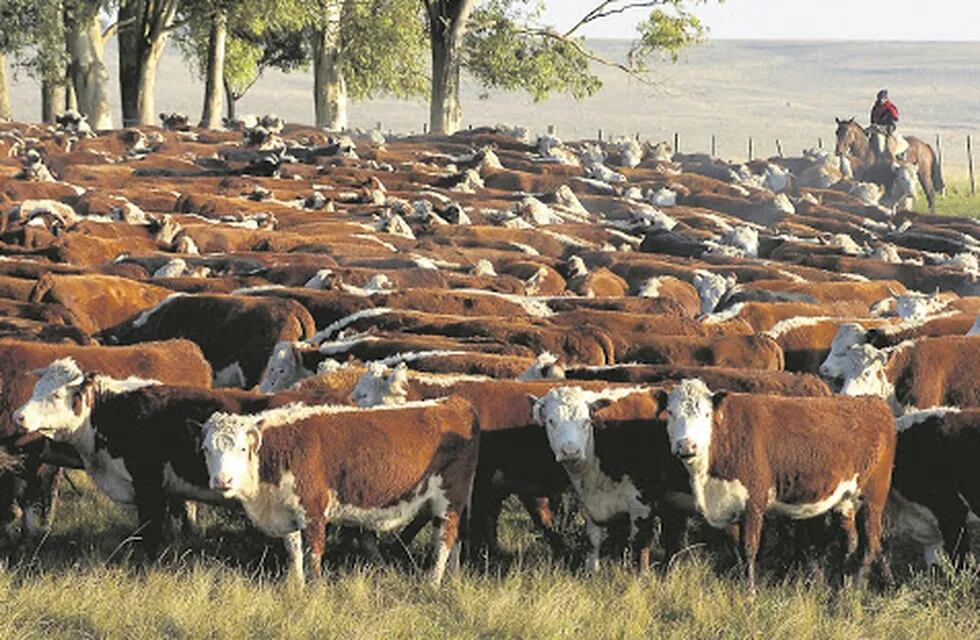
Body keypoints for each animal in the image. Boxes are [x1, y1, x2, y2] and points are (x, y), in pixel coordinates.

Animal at [197, 398, 480, 588]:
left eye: (242, 449)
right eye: (206, 449)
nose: (222, 481)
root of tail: (453, 403)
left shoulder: (313, 510)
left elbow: (313, 554)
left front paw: (316, 592)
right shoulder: (287, 510)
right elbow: (294, 550)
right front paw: (297, 587)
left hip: (449, 499)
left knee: (444, 539)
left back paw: (432, 583)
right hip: (454, 502)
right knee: (455, 539)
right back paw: (453, 579)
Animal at [668, 380, 896, 592]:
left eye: (706, 414)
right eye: (670, 413)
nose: (686, 446)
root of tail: (874, 402)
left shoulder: (754, 502)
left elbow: (749, 548)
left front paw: (750, 592)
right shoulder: (728, 503)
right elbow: (736, 548)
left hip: (873, 497)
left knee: (870, 543)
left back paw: (854, 590)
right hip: (845, 500)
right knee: (850, 542)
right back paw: (842, 587)